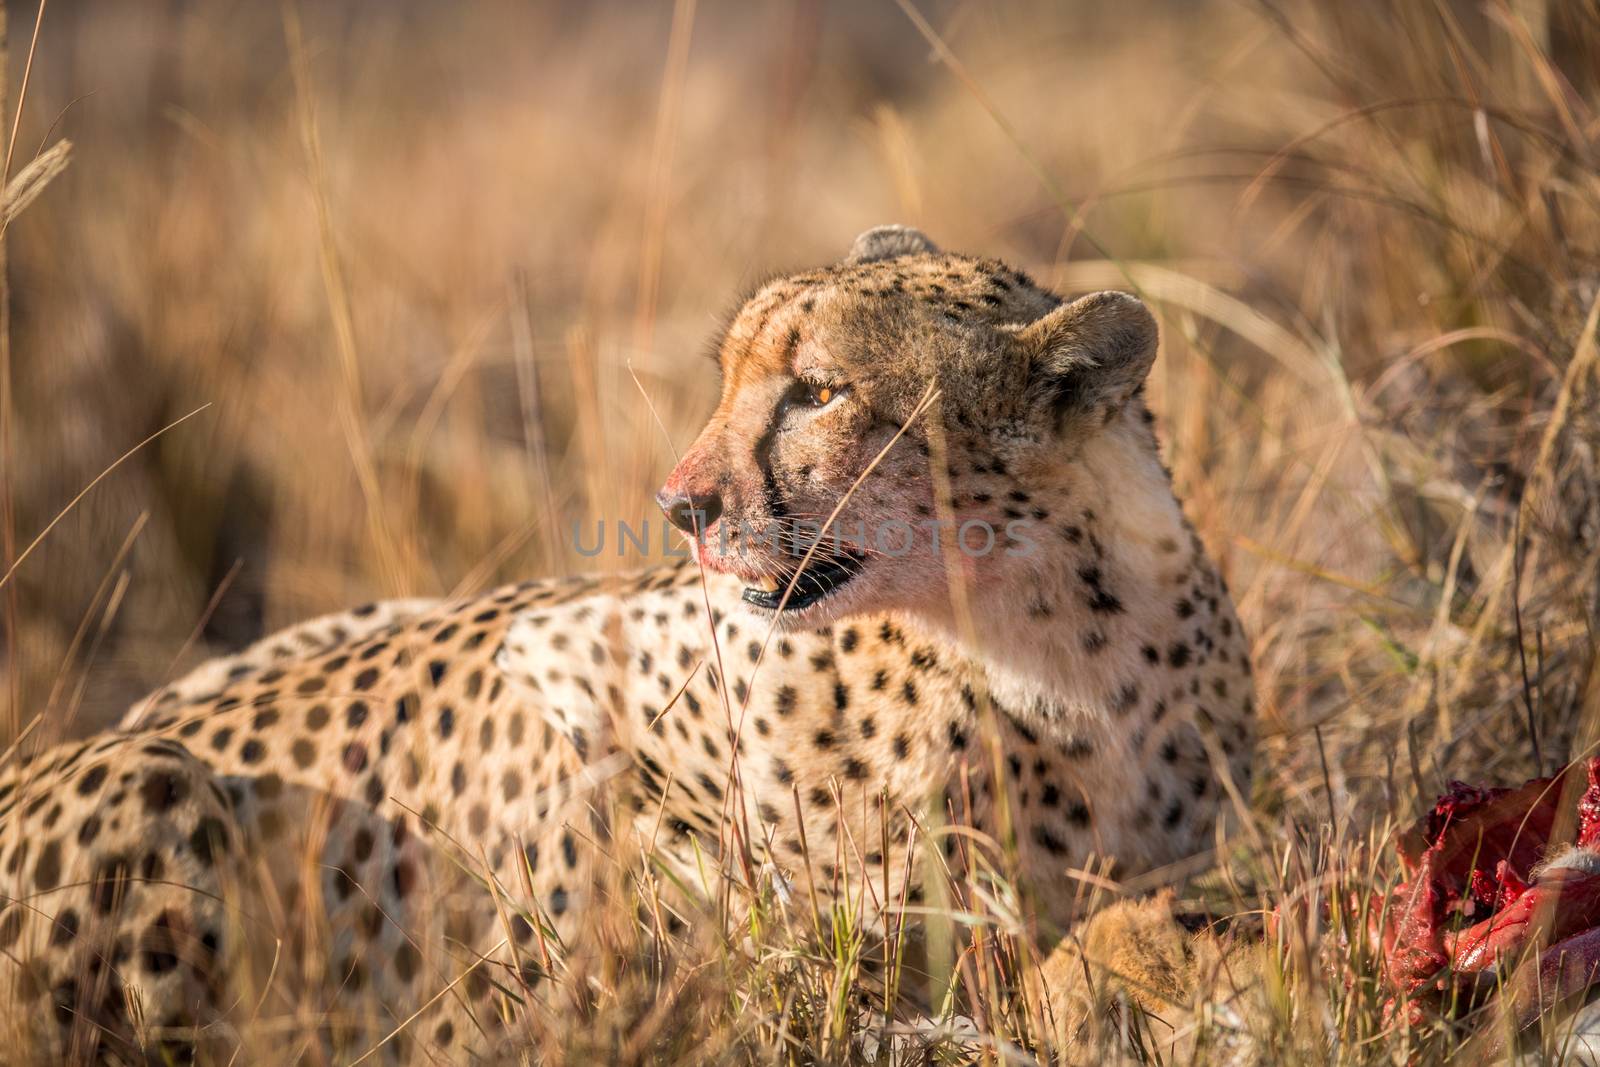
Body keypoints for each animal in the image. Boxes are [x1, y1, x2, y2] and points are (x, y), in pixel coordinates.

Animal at [0, 225, 1248, 1062]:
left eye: (819, 391)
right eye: (732, 376)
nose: (680, 503)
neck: (1064, 634)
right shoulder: (558, 661)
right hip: (152, 766)